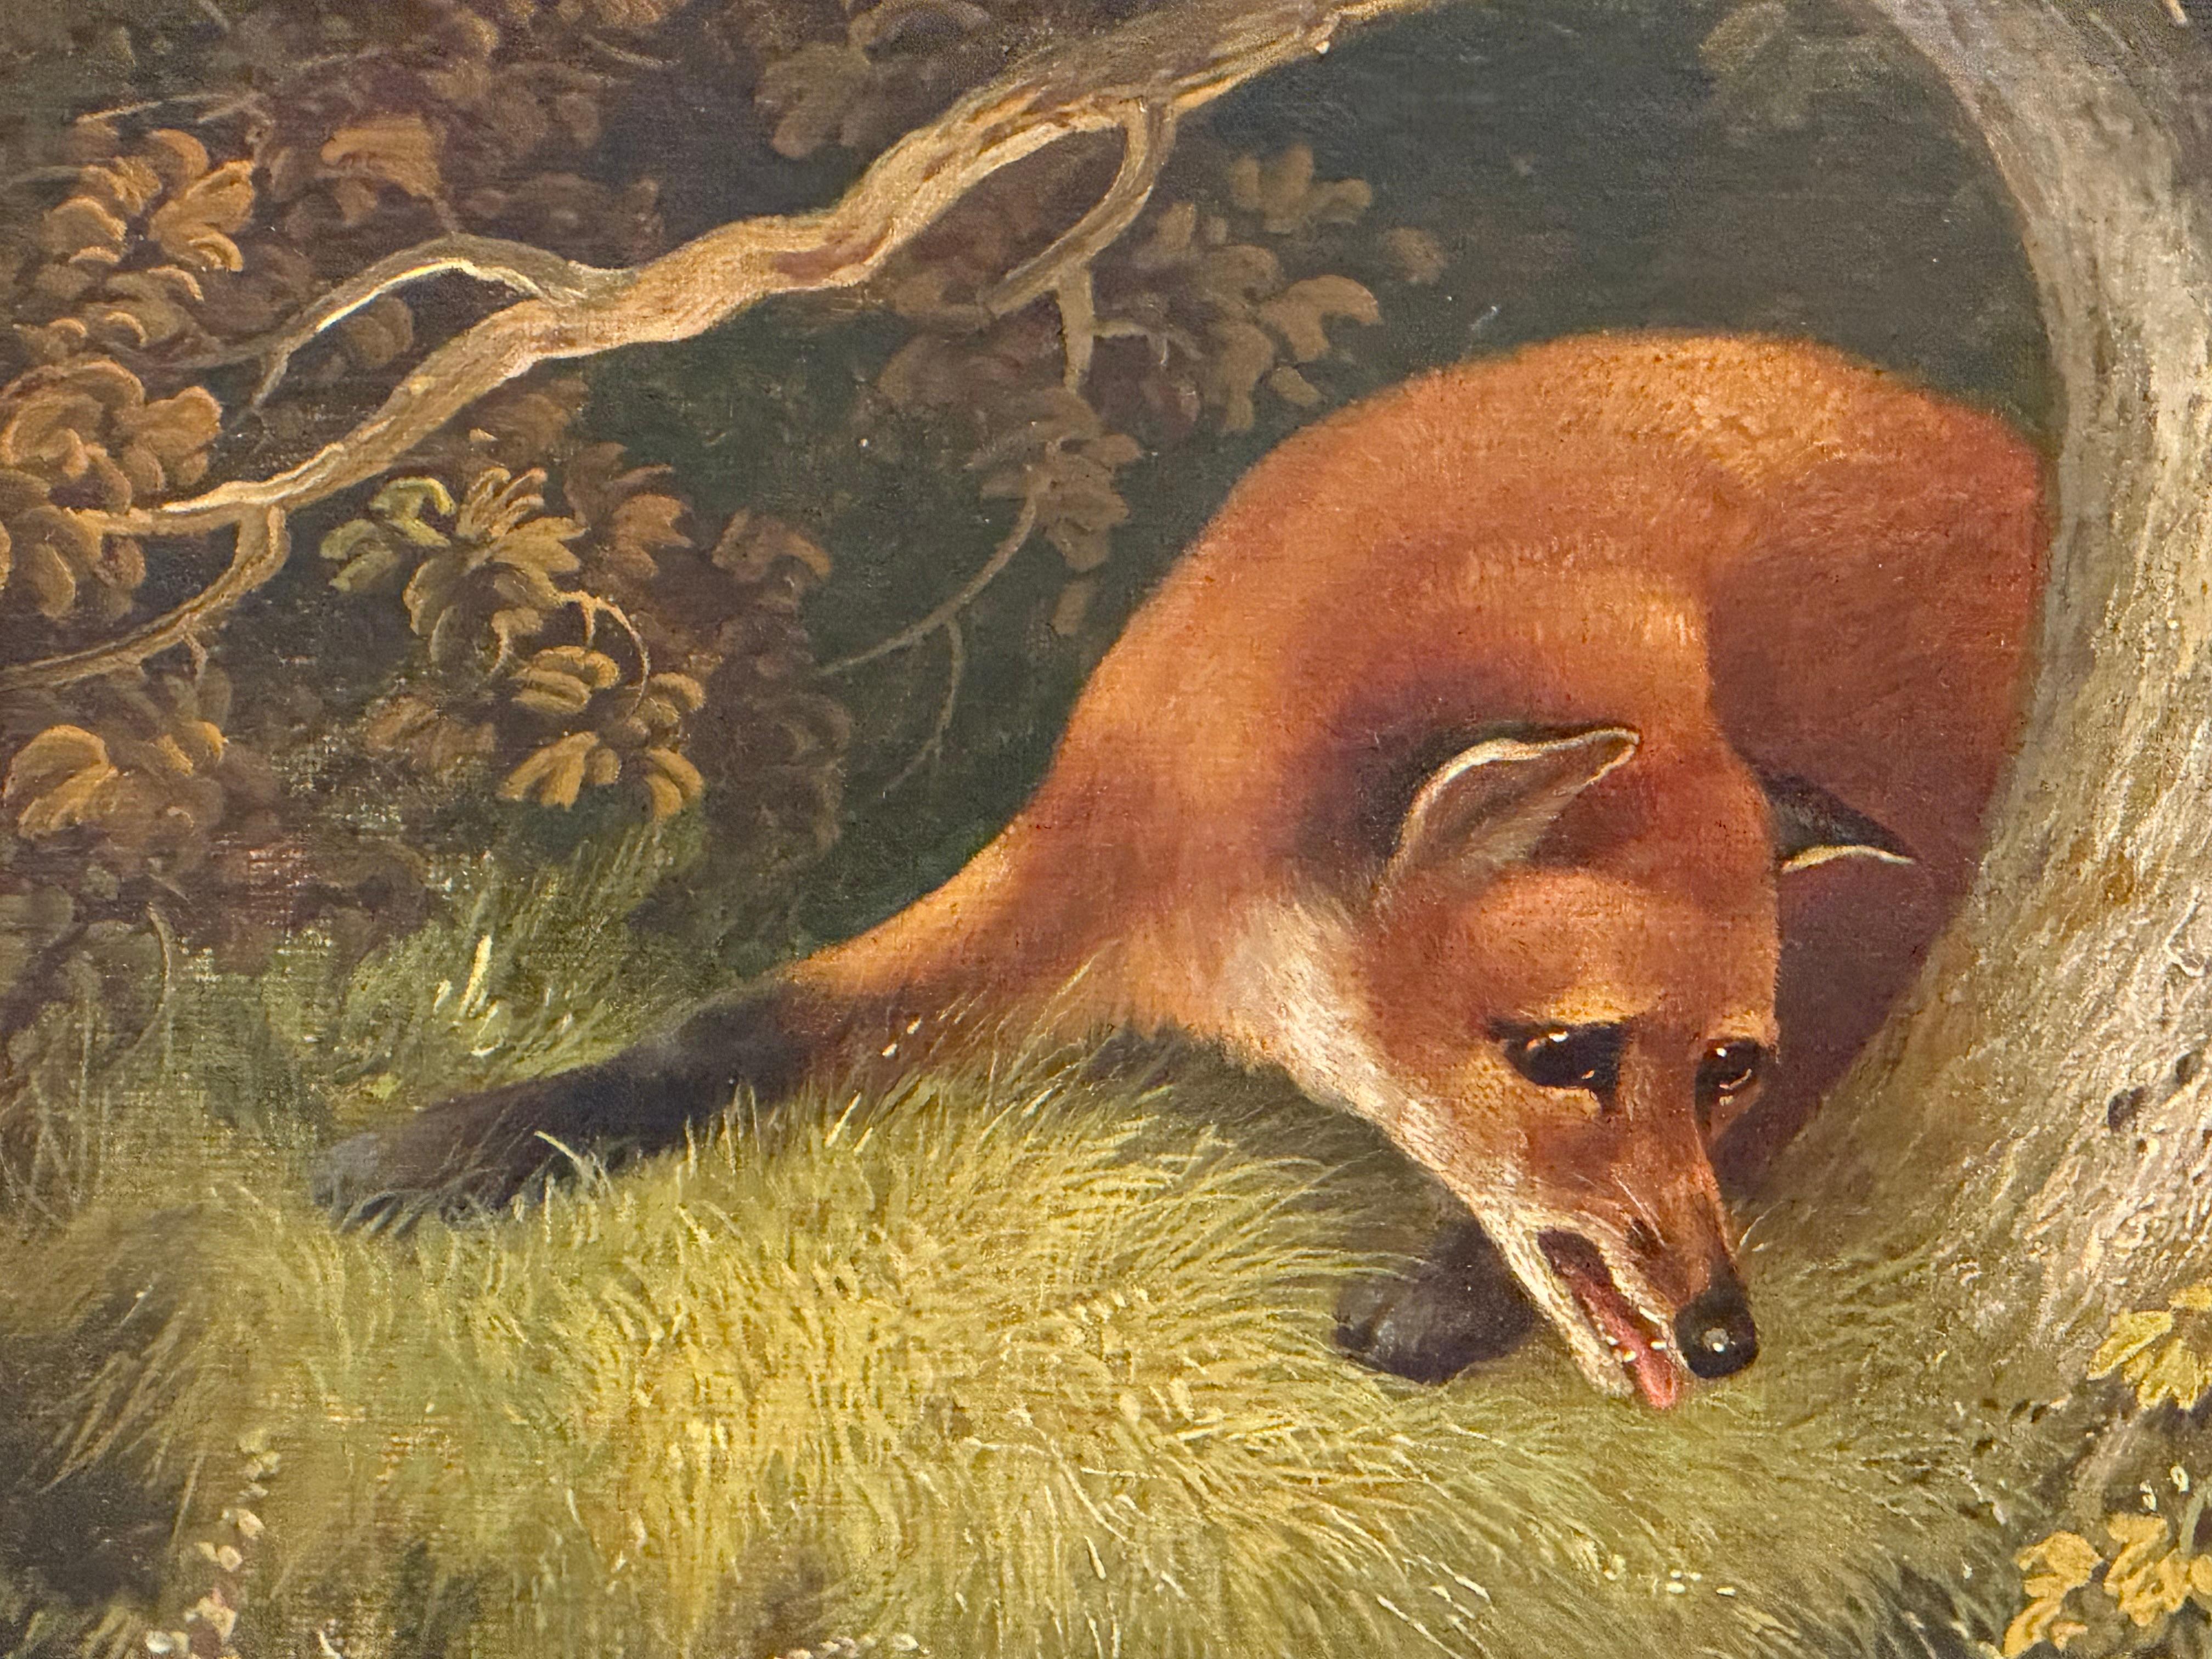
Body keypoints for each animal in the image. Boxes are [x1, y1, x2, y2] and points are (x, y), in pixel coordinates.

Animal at [317, 331, 2046, 1409]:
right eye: (1567, 1054)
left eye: (1727, 1070)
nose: (1726, 1335)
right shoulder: (1076, 863)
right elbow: (724, 1031)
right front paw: (446, 1153)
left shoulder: (1876, 941)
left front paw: (1441, 1306)